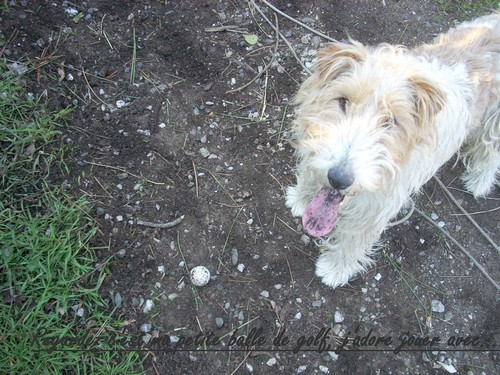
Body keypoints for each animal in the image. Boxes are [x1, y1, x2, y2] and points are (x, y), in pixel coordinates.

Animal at [288, 13, 498, 288]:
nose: (338, 179)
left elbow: (354, 239)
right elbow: (310, 176)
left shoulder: (378, 204)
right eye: (343, 102)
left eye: (390, 122)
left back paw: (479, 181)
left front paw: (336, 268)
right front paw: (300, 199)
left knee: (491, 151)